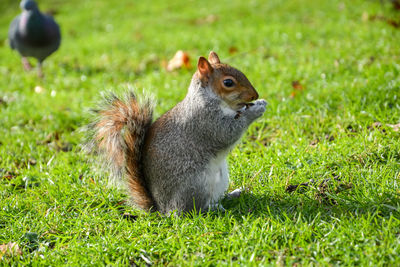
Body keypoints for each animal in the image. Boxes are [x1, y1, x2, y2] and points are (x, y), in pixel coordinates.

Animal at [89, 51, 268, 216]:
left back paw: (233, 194)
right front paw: (256, 109)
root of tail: (163, 209)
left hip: (220, 179)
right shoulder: (205, 121)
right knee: (191, 210)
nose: (255, 95)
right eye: (228, 82)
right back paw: (215, 208)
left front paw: (258, 103)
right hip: (195, 184)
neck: (208, 98)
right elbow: (227, 132)